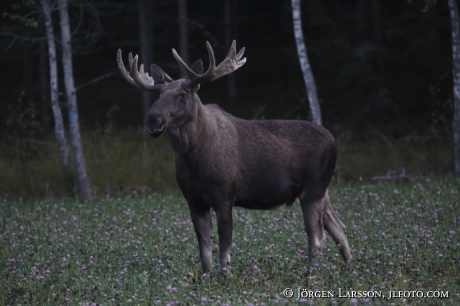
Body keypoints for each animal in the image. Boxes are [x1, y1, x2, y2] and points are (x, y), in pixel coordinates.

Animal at [117, 40, 350, 272]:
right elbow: (205, 252)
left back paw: (311, 272)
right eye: (159, 95)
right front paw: (206, 277)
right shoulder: (194, 200)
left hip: (313, 190)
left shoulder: (225, 197)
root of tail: (333, 141)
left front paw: (225, 277)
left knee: (317, 237)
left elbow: (223, 250)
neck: (192, 157)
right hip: (322, 191)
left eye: (182, 95)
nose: (153, 122)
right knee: (339, 228)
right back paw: (348, 268)